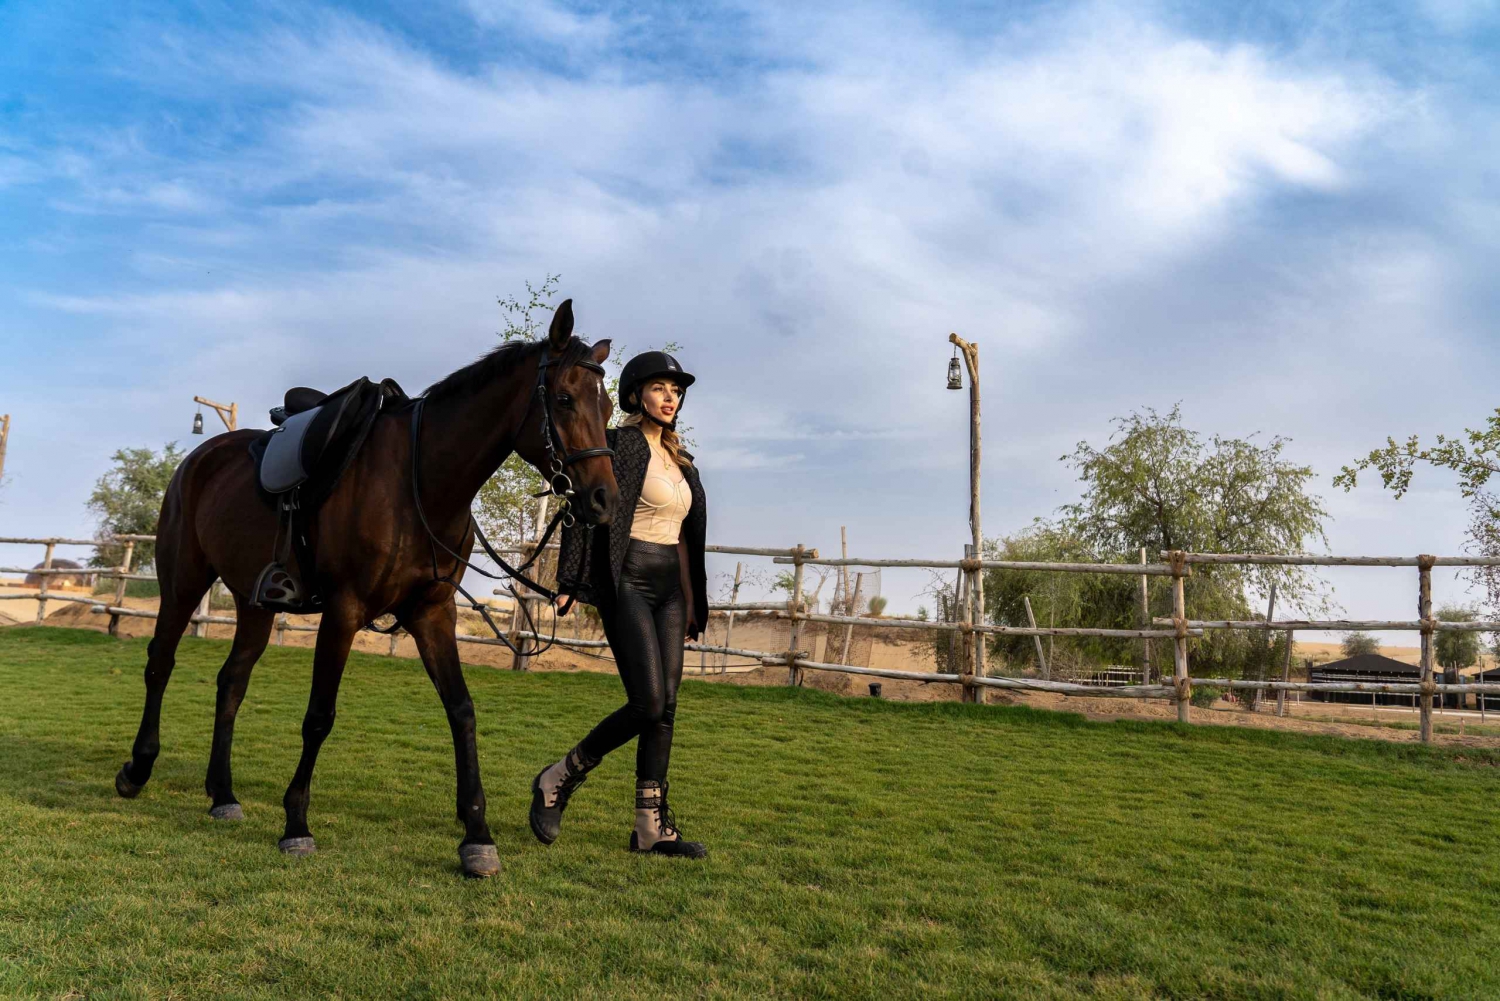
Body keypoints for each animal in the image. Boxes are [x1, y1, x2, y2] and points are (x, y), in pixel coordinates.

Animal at [112, 301, 618, 878]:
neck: (420, 483)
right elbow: (319, 717)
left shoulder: (432, 614)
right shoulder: (344, 611)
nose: (604, 500)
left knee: (232, 681)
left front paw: (477, 835)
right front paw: (296, 824)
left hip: (253, 602)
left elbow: (462, 710)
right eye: (564, 398)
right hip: (182, 581)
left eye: (607, 405)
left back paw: (223, 794)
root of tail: (200, 457)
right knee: (160, 663)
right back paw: (137, 768)